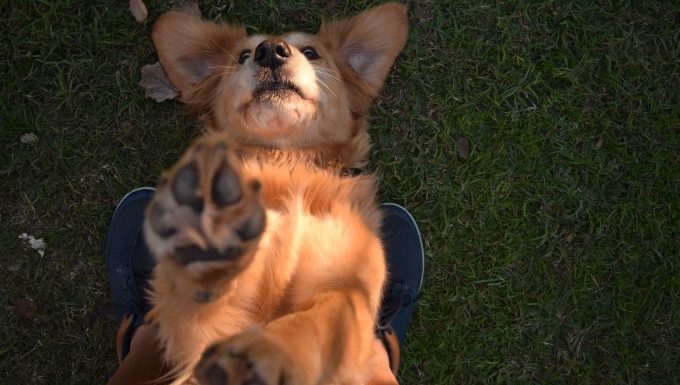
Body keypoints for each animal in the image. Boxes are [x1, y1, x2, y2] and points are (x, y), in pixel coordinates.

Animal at [143, 3, 406, 384]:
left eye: (311, 52)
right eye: (242, 55)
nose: (270, 51)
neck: (286, 162)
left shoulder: (350, 289)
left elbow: (313, 321)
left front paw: (267, 351)